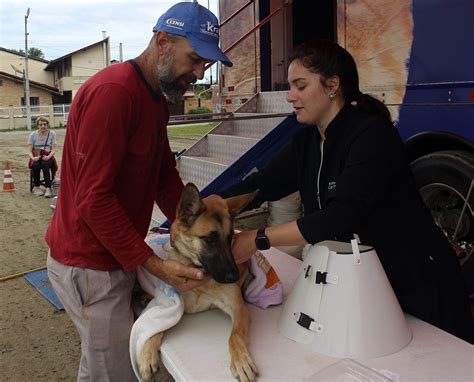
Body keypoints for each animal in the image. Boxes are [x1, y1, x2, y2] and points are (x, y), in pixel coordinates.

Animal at [138, 184, 256, 380]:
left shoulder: (239, 308)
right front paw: (147, 353)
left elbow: (235, 335)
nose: (234, 277)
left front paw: (241, 360)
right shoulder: (174, 304)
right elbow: (158, 324)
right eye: (210, 239)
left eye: (230, 237)